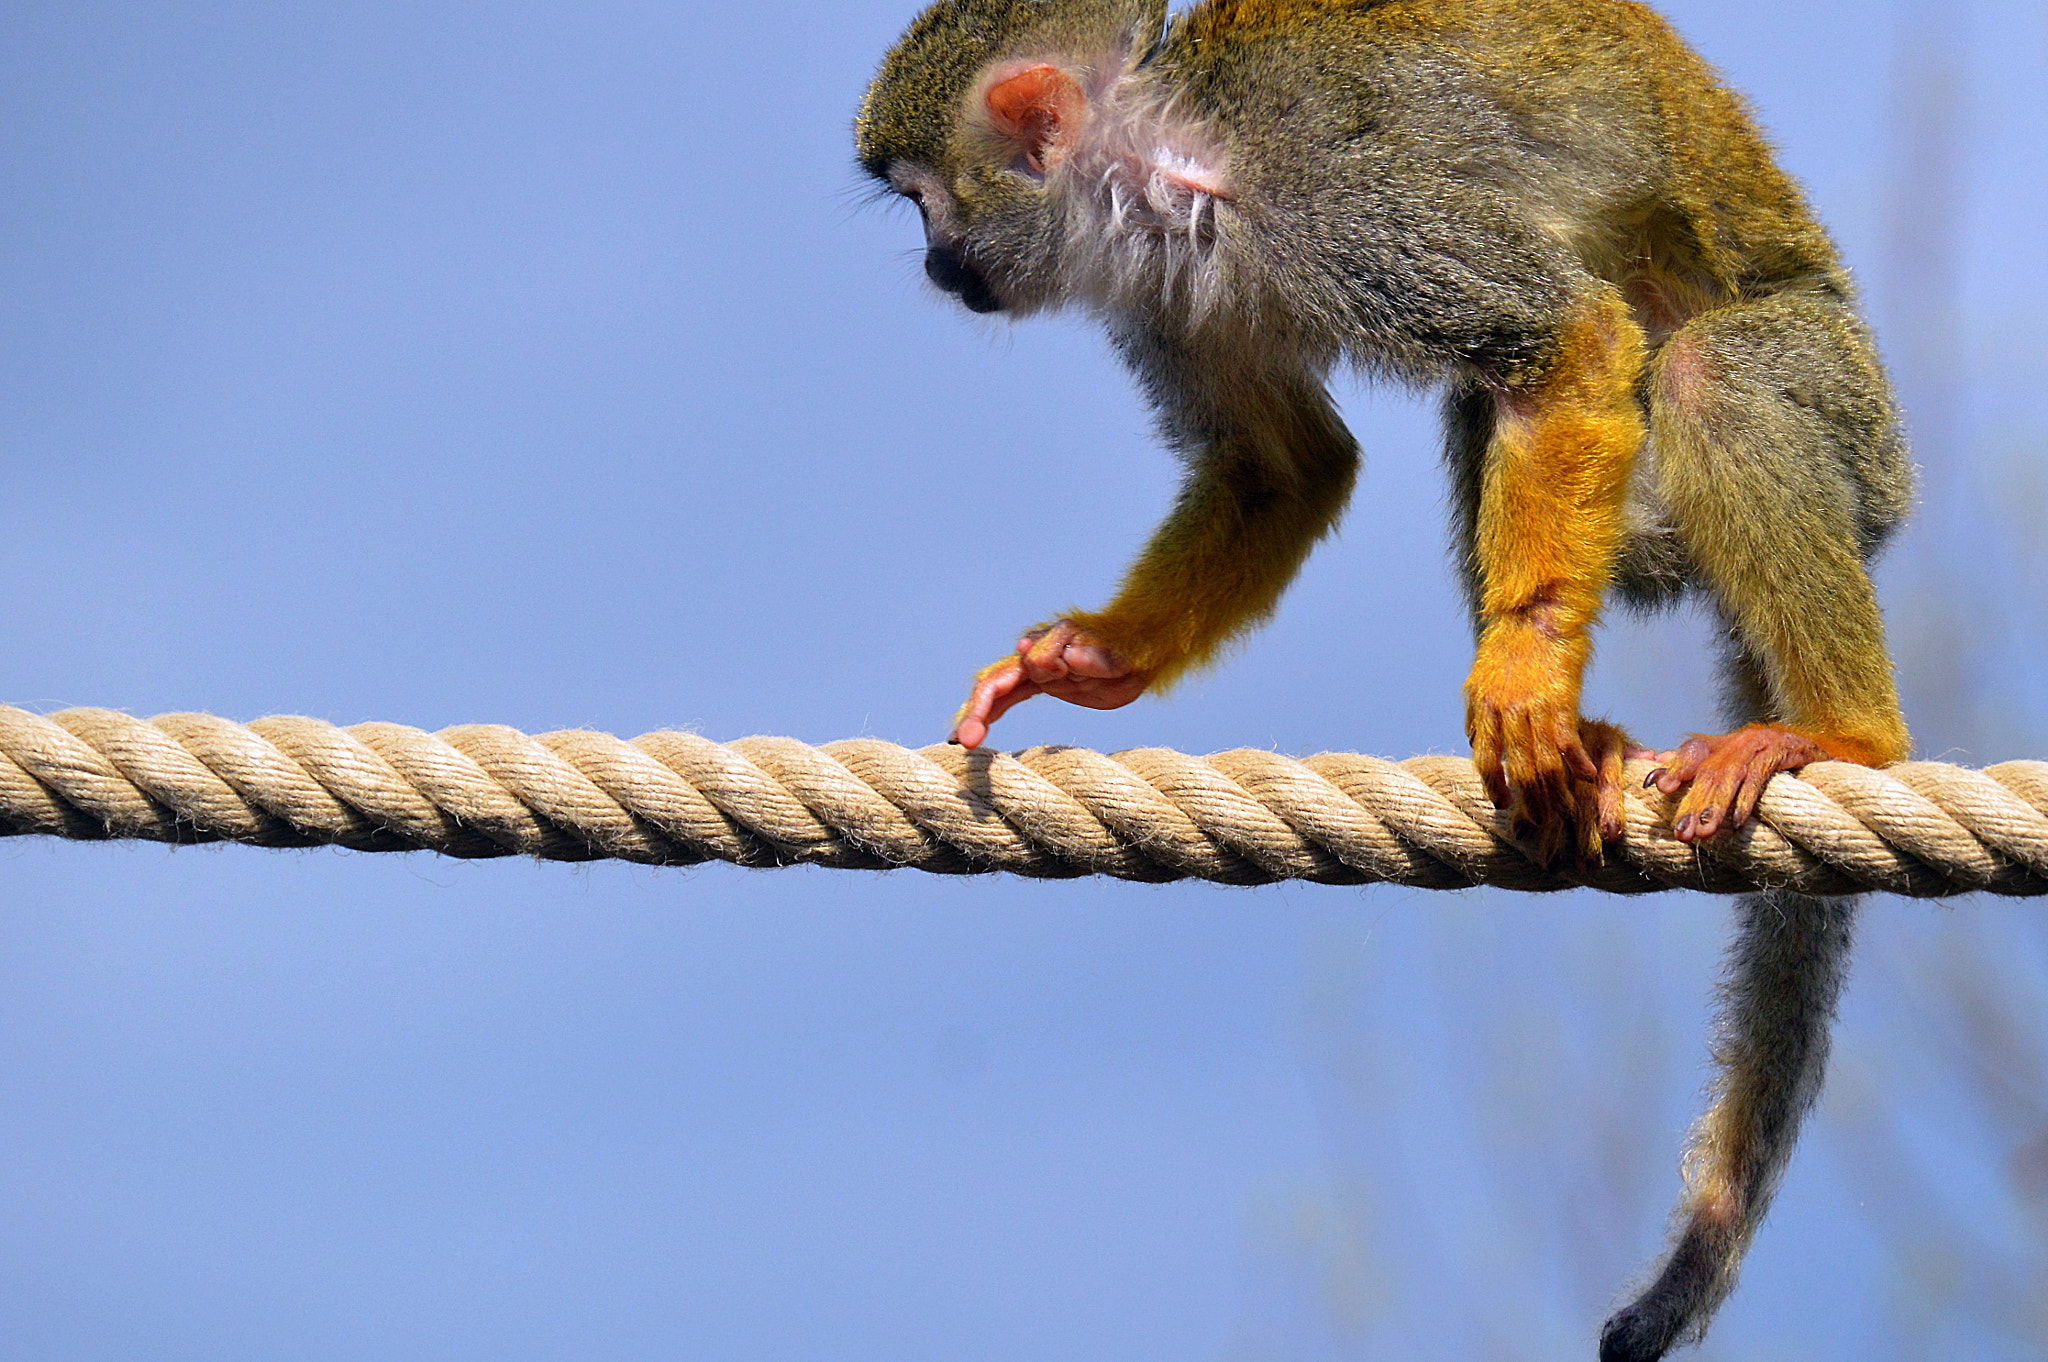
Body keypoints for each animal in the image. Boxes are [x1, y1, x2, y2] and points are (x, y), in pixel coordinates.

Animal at [855, 2, 1912, 1356]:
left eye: (925, 200)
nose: (941, 265)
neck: (1173, 157)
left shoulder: (1345, 208)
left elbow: (1565, 341)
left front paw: (1522, 671)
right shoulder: (1172, 284)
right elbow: (1284, 467)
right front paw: (1094, 657)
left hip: (1851, 418)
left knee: (1694, 378)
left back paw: (1840, 737)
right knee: (1492, 406)